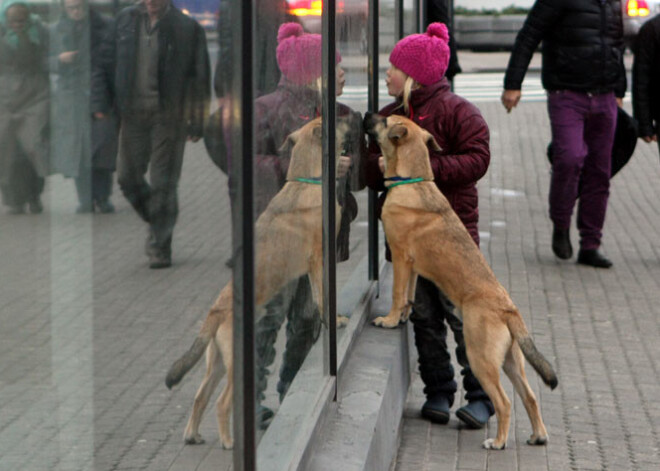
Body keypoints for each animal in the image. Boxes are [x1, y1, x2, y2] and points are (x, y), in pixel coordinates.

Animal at [164, 118, 346, 450]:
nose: (347, 117)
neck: (306, 180)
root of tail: (215, 311)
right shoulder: (318, 261)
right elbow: (323, 296)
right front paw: (334, 319)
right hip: (235, 366)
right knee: (221, 403)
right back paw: (228, 442)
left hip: (216, 364)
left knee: (200, 397)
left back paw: (193, 435)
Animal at [364, 113, 560, 450]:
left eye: (386, 120)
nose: (366, 114)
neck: (413, 180)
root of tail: (509, 310)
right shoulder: (412, 266)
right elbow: (409, 296)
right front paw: (402, 317)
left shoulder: (401, 257)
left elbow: (397, 294)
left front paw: (388, 320)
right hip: (510, 361)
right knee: (530, 396)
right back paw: (538, 435)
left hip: (480, 357)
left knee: (505, 402)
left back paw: (498, 442)